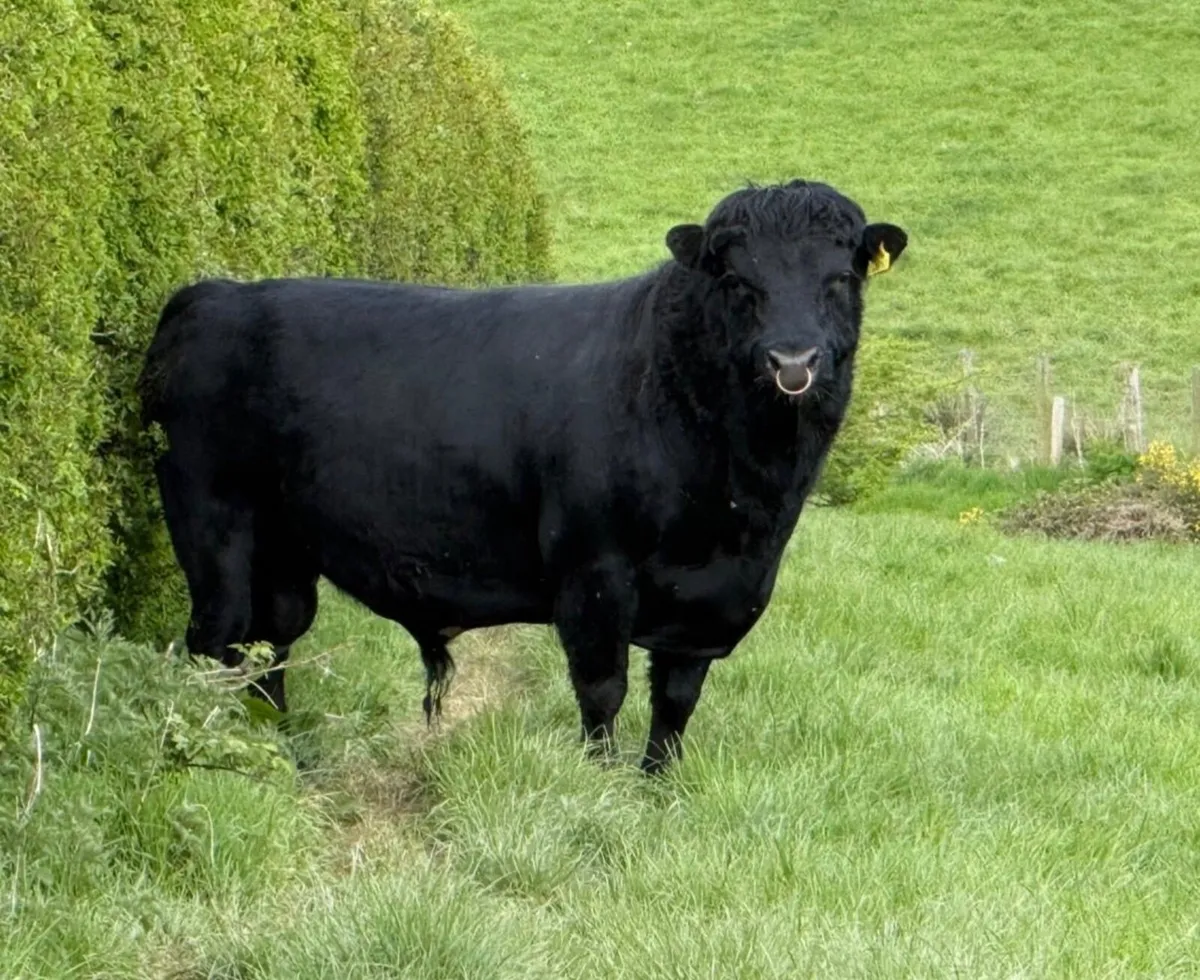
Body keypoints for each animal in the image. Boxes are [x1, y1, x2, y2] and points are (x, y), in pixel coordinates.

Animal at [138, 179, 907, 774]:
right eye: (739, 281)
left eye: (839, 279)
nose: (793, 361)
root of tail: (210, 295)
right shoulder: (594, 571)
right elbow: (602, 689)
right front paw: (599, 784)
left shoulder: (714, 601)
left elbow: (676, 700)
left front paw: (656, 786)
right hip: (212, 522)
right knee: (216, 641)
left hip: (284, 549)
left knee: (270, 643)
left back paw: (285, 755)